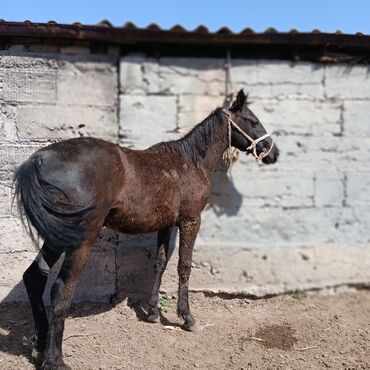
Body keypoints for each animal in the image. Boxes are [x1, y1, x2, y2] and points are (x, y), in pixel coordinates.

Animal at [15, 90, 278, 370]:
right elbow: (184, 266)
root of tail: (39, 159)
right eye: (252, 120)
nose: (274, 153)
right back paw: (55, 359)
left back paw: (41, 345)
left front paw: (152, 312)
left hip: (56, 238)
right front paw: (187, 317)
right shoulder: (190, 221)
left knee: (34, 277)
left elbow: (160, 263)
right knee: (60, 291)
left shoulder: (165, 225)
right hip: (79, 242)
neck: (190, 161)